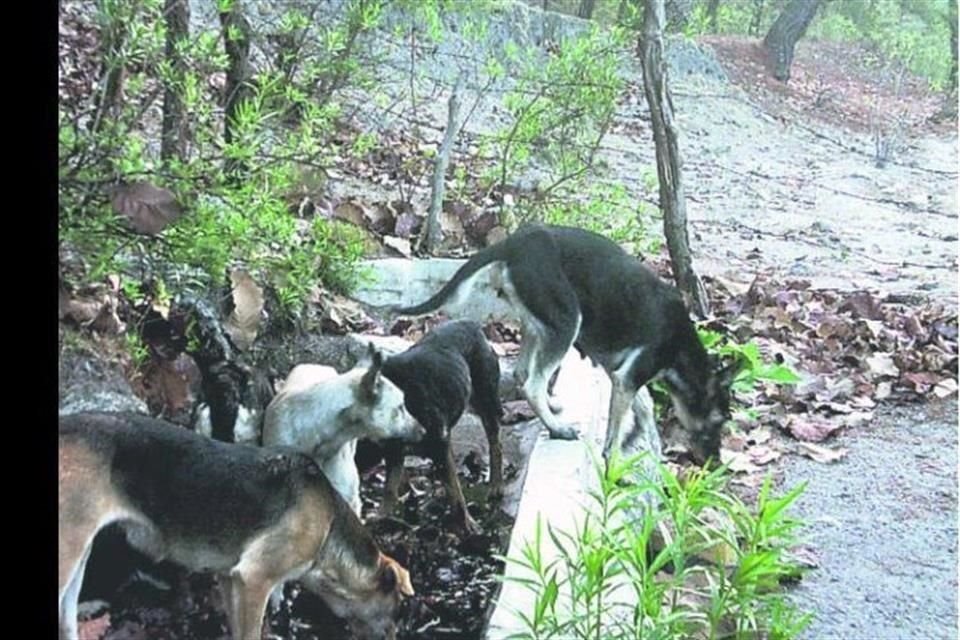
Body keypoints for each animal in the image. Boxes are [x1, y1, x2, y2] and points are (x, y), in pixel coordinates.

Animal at [394, 224, 740, 464]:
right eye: (720, 420)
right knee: (533, 383)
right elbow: (621, 423)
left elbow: (642, 408)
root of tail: (513, 243)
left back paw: (552, 408)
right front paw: (613, 460)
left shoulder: (618, 371)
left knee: (522, 374)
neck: (681, 348)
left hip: (538, 323)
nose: (716, 464)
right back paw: (557, 427)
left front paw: (633, 438)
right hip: (566, 322)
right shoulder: (629, 375)